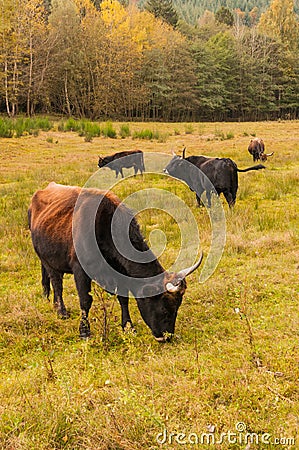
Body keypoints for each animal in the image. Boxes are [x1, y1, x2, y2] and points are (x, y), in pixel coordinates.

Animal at [28, 182, 204, 342]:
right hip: (47, 260)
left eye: (177, 308)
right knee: (57, 283)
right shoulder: (80, 271)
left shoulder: (120, 272)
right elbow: (85, 301)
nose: (166, 337)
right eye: (165, 309)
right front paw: (84, 332)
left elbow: (123, 299)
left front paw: (128, 327)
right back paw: (61, 311)